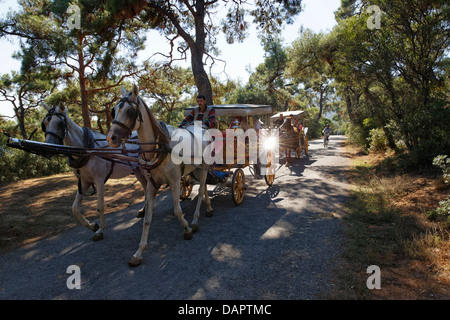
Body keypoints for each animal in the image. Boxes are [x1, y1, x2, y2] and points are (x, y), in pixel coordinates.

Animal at [41, 102, 147, 240]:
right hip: (138, 170)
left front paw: (100, 230)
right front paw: (92, 226)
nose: (48, 147)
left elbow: (100, 206)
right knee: (146, 188)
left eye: (59, 123)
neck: (86, 150)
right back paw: (143, 211)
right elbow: (74, 208)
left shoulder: (99, 180)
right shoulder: (84, 182)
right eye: (45, 123)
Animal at [105, 84, 213, 266]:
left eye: (129, 111)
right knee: (204, 187)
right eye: (114, 111)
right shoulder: (151, 185)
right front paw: (139, 252)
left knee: (200, 191)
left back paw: (195, 220)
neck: (160, 147)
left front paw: (187, 228)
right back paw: (209, 208)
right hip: (196, 169)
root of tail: (203, 129)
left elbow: (177, 210)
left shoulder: (175, 181)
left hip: (204, 167)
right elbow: (147, 218)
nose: (111, 137)